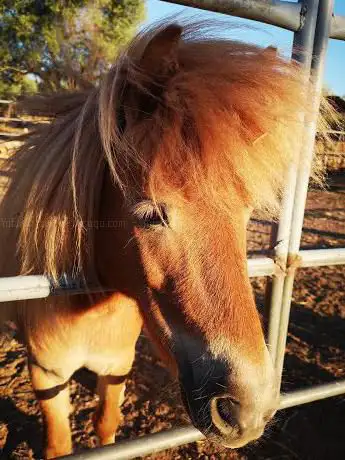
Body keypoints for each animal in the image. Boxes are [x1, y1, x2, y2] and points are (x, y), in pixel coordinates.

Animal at [0, 19, 322, 458]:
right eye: (151, 214)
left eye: (246, 213)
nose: (249, 409)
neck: (88, 314)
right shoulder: (46, 375)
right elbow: (59, 444)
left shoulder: (117, 367)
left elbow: (107, 425)